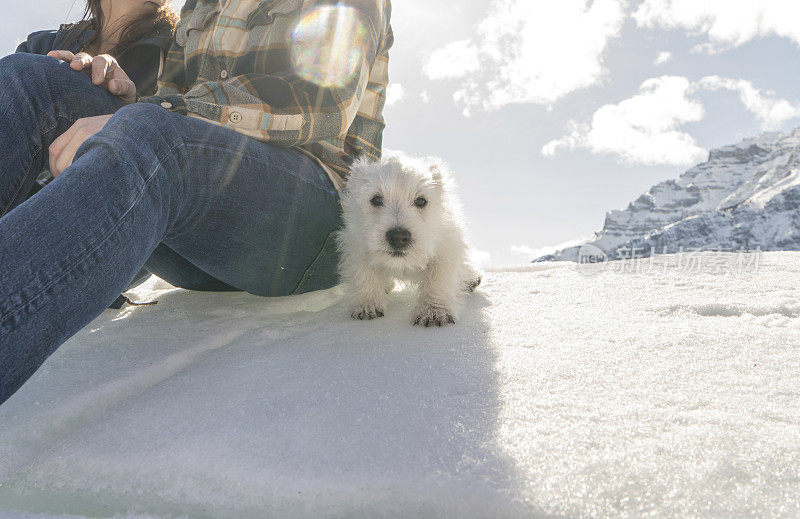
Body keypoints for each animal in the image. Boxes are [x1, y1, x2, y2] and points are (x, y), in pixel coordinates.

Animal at [338, 152, 482, 328]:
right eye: (376, 200)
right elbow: (363, 271)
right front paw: (367, 304)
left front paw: (433, 311)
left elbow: (439, 276)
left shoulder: (446, 245)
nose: (398, 236)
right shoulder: (358, 243)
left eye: (421, 200)